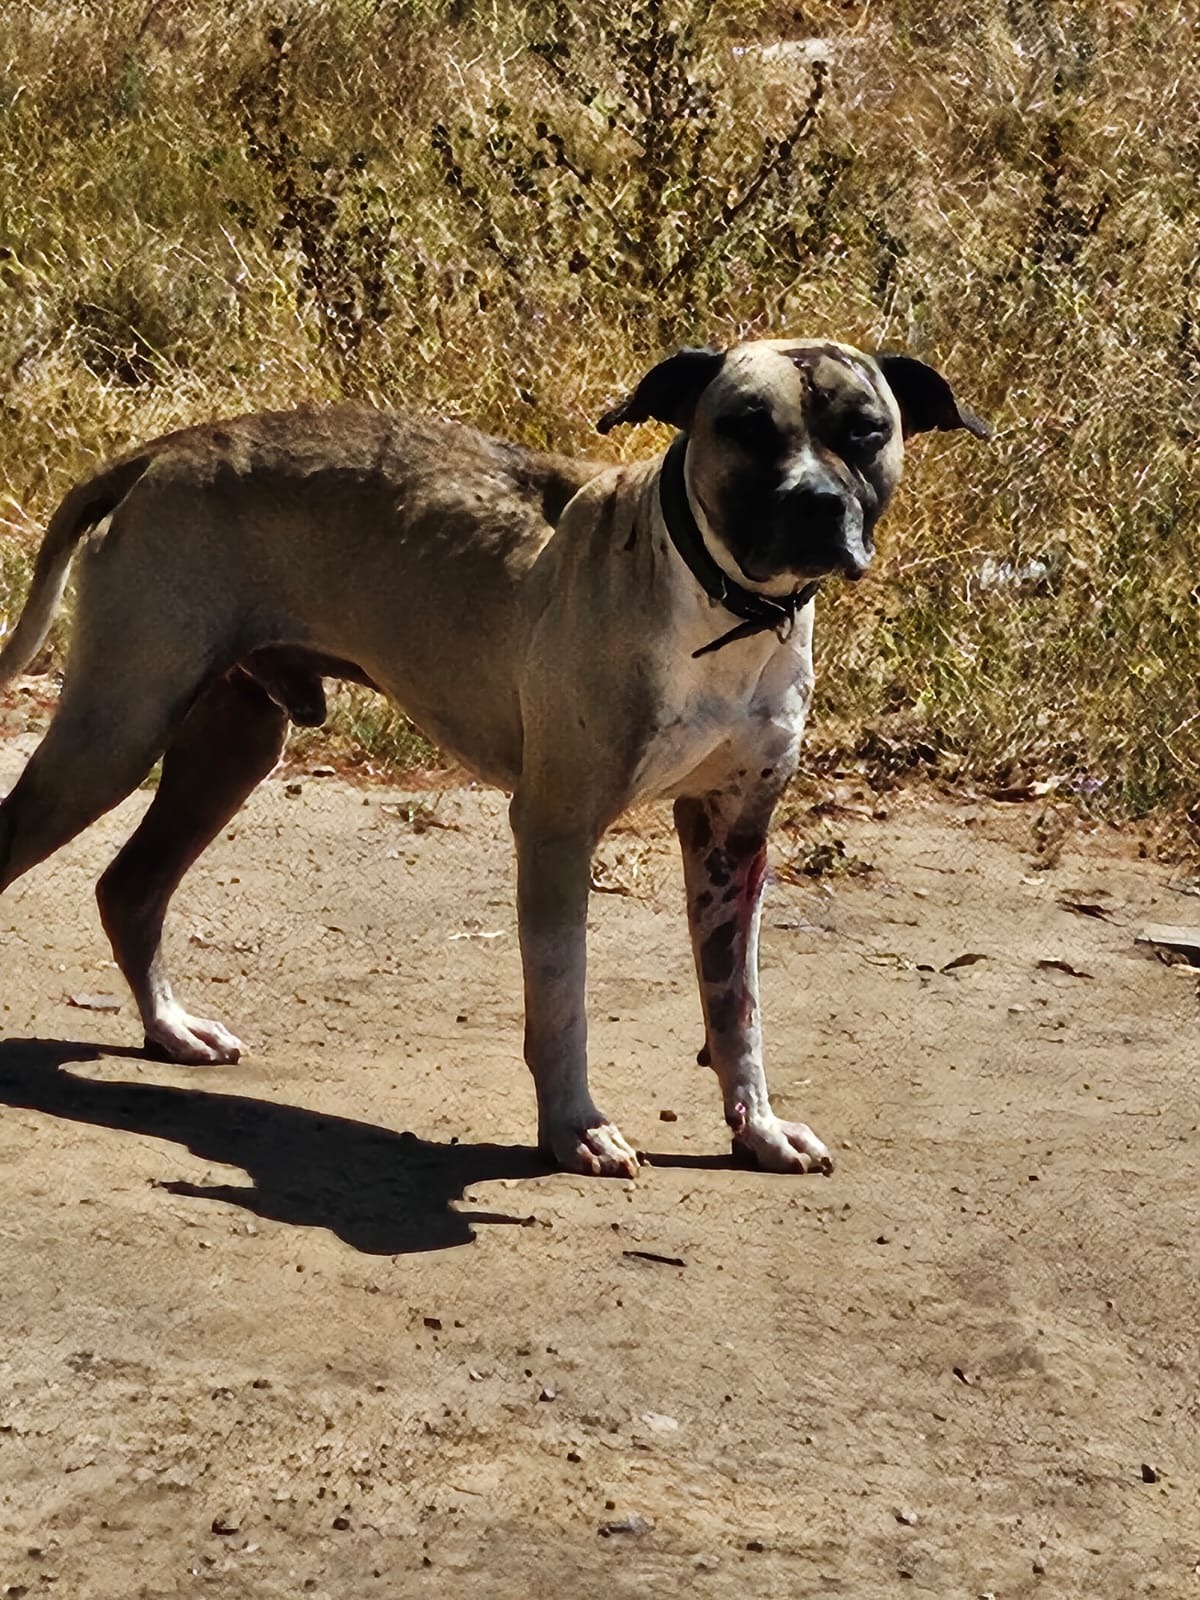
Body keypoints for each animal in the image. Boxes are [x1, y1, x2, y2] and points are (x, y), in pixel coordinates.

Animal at [0, 339, 987, 1177]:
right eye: (746, 426)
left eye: (866, 431)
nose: (818, 504)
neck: (724, 605)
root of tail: (166, 448)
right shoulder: (555, 830)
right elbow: (561, 998)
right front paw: (575, 1128)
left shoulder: (732, 841)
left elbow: (736, 1007)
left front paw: (759, 1128)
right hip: (113, 734)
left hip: (229, 747)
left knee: (130, 887)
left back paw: (171, 1029)